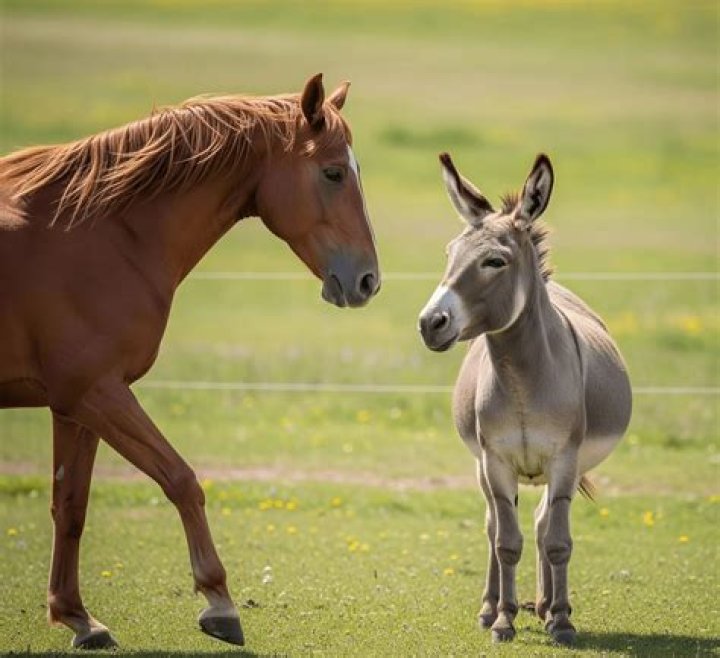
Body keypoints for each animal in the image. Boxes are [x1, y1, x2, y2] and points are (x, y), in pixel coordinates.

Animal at [0, 73, 380, 649]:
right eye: (333, 172)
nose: (368, 280)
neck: (97, 232)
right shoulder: (97, 391)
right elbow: (181, 479)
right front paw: (218, 600)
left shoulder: (72, 405)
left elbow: (70, 507)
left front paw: (78, 617)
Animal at [418, 152, 631, 645]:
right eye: (449, 255)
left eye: (495, 261)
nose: (430, 323)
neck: (521, 378)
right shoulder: (495, 462)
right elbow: (505, 541)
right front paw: (502, 620)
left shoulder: (564, 460)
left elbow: (557, 541)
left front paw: (562, 620)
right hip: (484, 468)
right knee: (495, 524)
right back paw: (493, 606)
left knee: (540, 524)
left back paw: (549, 605)